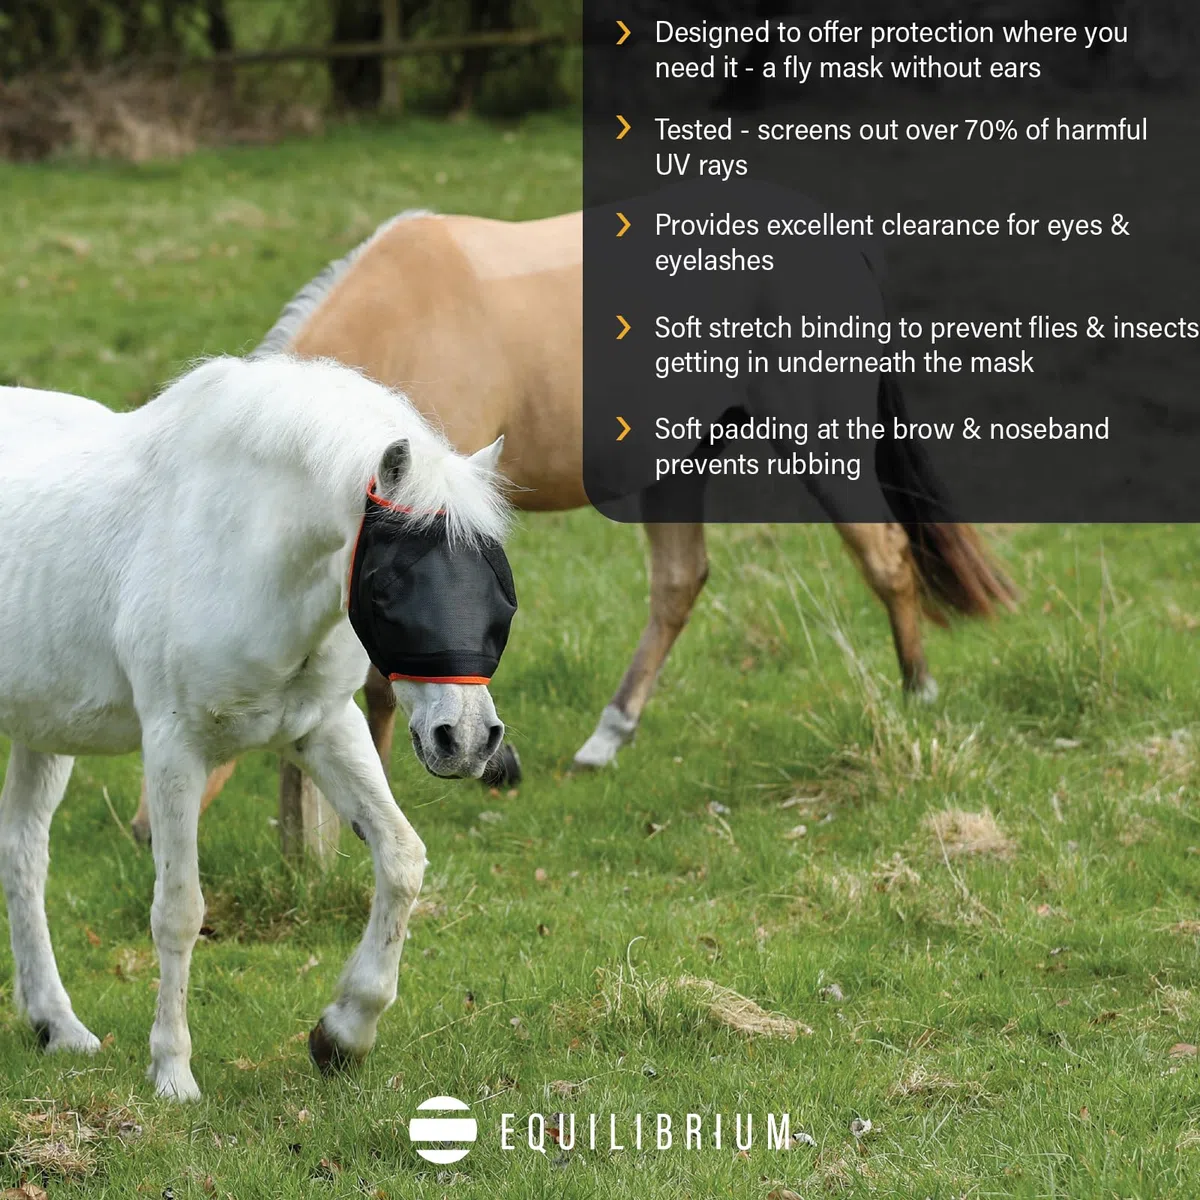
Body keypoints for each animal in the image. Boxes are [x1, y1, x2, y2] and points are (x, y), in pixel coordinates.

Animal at [0, 354, 513, 1100]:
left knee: (22, 852)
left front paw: (343, 1034)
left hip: (43, 727)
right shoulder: (174, 749)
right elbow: (179, 910)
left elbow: (401, 858)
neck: (239, 544)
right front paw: (172, 1073)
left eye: (499, 590)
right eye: (392, 588)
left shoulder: (322, 728)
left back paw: (57, 1027)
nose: (468, 740)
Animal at [130, 205, 1016, 840]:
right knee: (679, 585)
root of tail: (837, 246)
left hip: (819, 444)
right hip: (677, 467)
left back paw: (918, 691)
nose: (145, 827)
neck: (412, 324)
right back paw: (607, 738)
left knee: (887, 557)